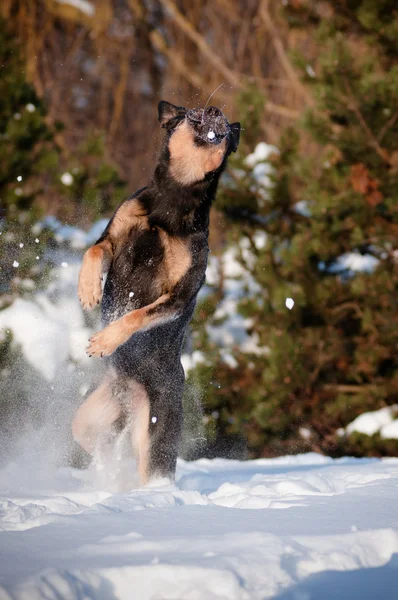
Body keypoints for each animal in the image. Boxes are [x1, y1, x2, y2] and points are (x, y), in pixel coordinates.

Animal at [71, 101, 239, 486]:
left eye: (223, 122)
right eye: (192, 113)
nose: (214, 109)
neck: (173, 201)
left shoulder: (178, 295)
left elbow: (136, 314)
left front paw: (104, 341)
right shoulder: (114, 238)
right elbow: (93, 251)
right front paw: (88, 289)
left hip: (155, 435)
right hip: (91, 419)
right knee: (97, 441)